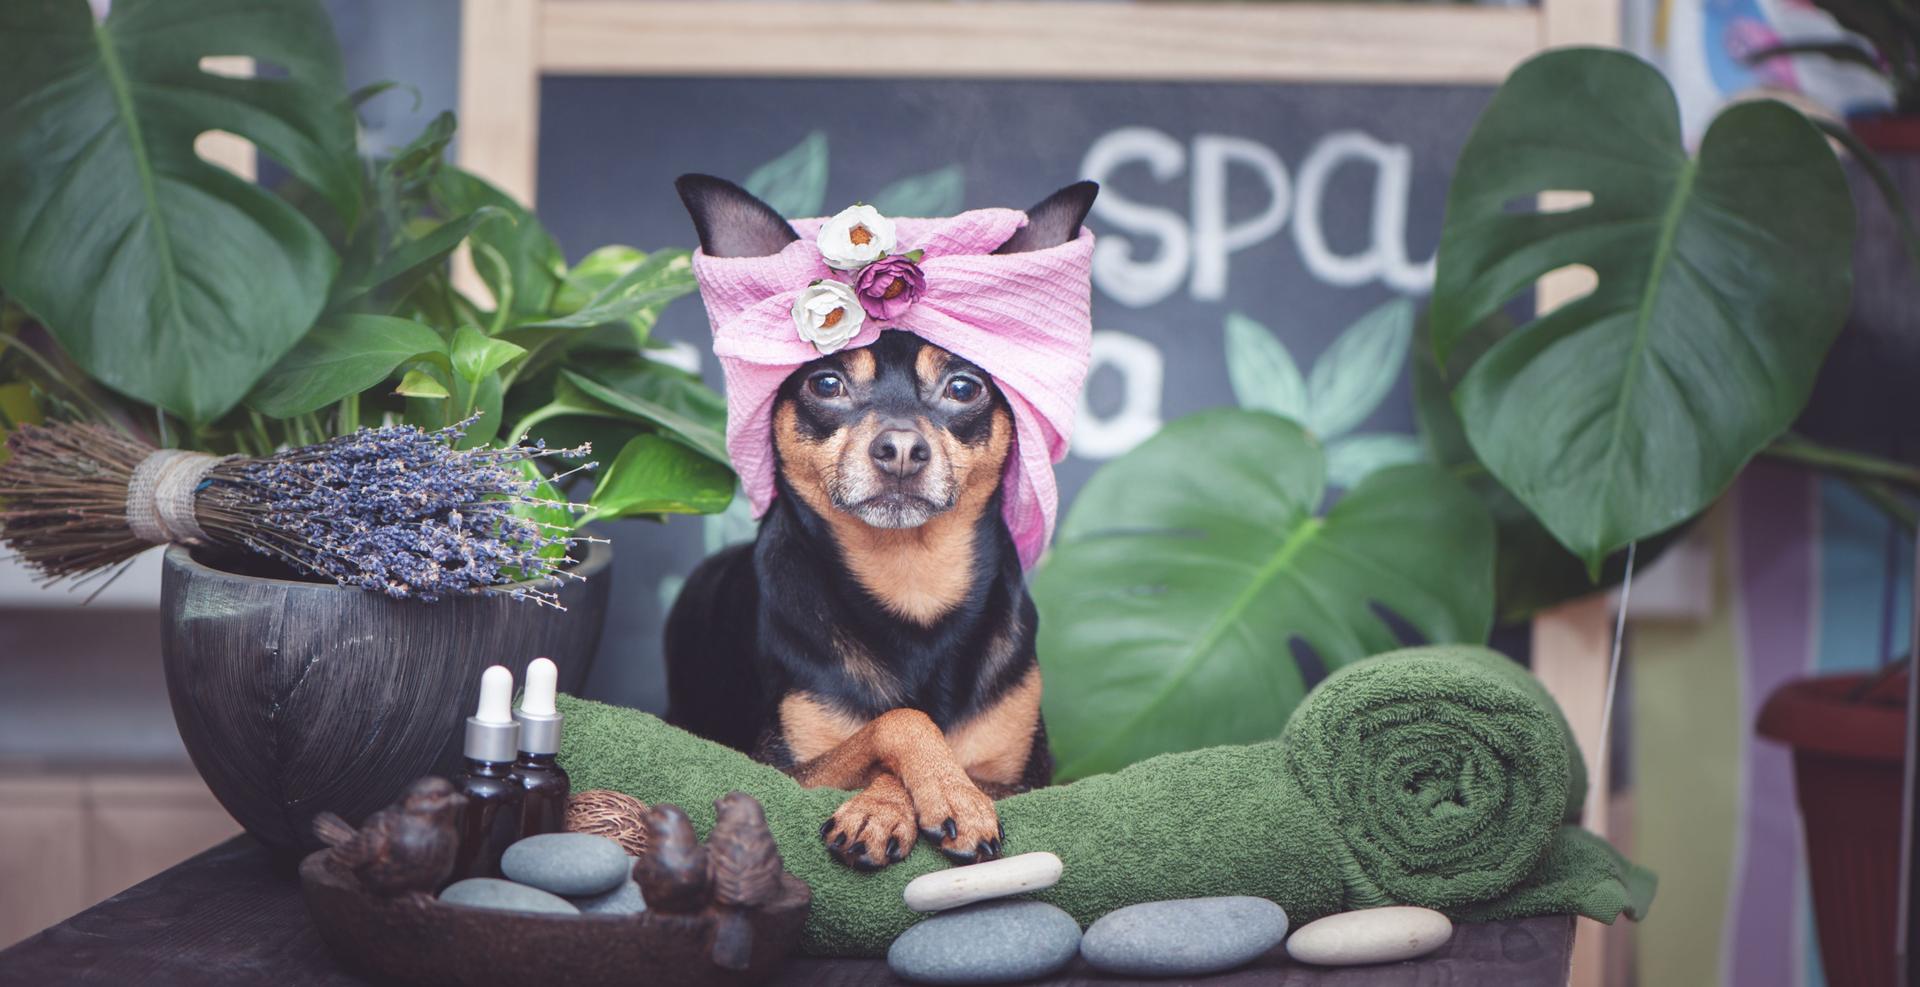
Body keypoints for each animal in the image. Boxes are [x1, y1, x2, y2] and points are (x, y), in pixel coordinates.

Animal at [668, 172, 1105, 864]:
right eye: (826, 383)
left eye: (963, 387)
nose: (900, 447)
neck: (912, 584)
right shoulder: (778, 771)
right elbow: (898, 720)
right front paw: (899, 802)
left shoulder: (1030, 781)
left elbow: (949, 754)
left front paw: (941, 795)